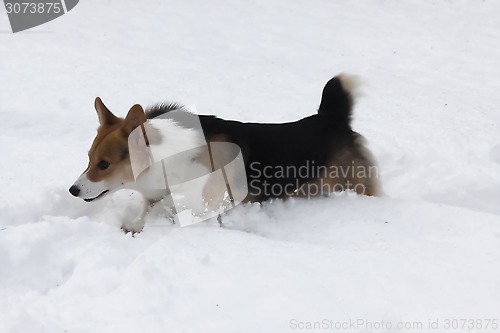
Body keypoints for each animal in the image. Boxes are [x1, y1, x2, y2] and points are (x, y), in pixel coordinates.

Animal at [69, 74, 378, 232]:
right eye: (88, 158)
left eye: (104, 164)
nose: (73, 190)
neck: (167, 157)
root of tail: (331, 118)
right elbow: (149, 206)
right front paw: (135, 224)